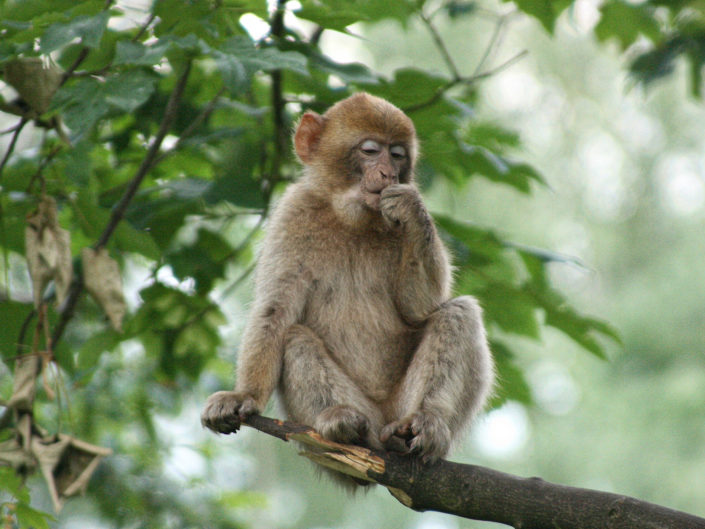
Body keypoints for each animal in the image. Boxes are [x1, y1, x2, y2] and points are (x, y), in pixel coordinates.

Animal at [201, 93, 494, 480]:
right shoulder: (293, 214)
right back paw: (341, 424)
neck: (352, 217)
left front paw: (412, 207)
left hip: (400, 404)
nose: (387, 174)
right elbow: (275, 309)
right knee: (294, 337)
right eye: (370, 151)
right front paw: (244, 395)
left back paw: (425, 425)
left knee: (459, 312)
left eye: (397, 155)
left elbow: (421, 307)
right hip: (360, 413)